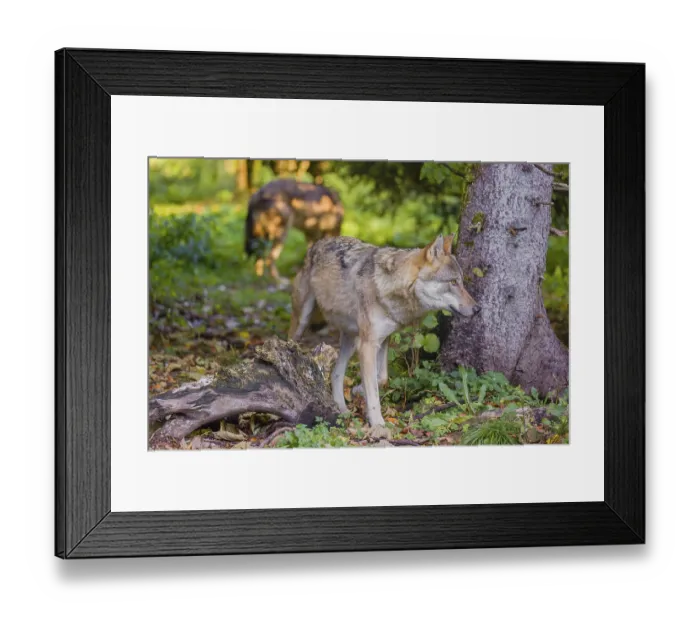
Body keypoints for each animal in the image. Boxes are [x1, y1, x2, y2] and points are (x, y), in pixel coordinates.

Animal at [289, 233, 481, 439]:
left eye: (461, 282)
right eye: (453, 282)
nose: (478, 309)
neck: (388, 287)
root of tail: (319, 242)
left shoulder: (382, 340)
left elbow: (381, 378)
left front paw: (358, 390)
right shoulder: (368, 345)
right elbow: (373, 390)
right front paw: (378, 425)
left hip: (351, 340)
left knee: (336, 373)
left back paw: (343, 409)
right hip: (303, 322)